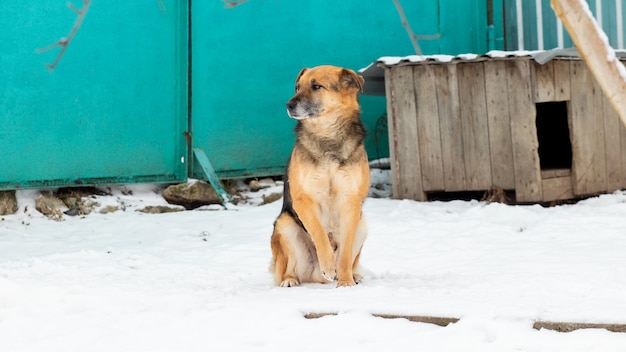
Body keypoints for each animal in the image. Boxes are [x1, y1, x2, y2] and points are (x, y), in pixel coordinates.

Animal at [270, 64, 368, 288]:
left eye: (316, 86)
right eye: (298, 87)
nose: (288, 105)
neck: (327, 136)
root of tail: (316, 278)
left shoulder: (351, 203)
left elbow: (345, 253)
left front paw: (346, 281)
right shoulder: (304, 201)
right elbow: (319, 233)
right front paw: (329, 265)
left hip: (363, 223)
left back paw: (353, 275)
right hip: (285, 225)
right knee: (287, 269)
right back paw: (290, 280)